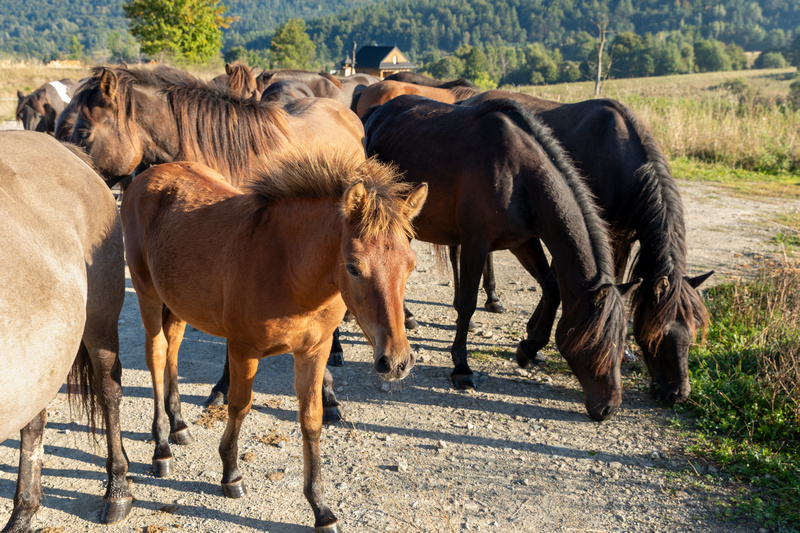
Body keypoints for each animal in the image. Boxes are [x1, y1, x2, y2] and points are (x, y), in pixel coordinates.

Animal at [0, 131, 133, 528]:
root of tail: (57, 144)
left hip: (99, 322)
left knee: (109, 391)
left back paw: (117, 490)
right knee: (34, 421)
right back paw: (24, 511)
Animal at [119, 149, 428, 532]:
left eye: (411, 264)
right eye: (354, 267)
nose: (397, 361)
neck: (288, 270)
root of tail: (147, 175)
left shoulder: (314, 351)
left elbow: (311, 418)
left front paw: (321, 508)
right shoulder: (242, 350)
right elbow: (239, 406)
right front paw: (231, 475)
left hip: (176, 302)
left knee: (173, 349)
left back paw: (179, 426)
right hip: (147, 293)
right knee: (158, 354)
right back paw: (162, 447)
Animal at [366, 95, 640, 420]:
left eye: (623, 342)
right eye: (595, 342)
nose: (609, 408)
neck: (519, 176)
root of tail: (377, 111)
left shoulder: (525, 241)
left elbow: (552, 288)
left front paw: (528, 349)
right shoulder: (476, 241)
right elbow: (468, 303)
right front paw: (461, 368)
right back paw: (407, 317)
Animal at [460, 90, 716, 404]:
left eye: (692, 333)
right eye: (657, 335)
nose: (678, 394)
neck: (620, 158)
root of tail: (470, 100)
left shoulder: (621, 235)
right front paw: (533, 334)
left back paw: (493, 299)